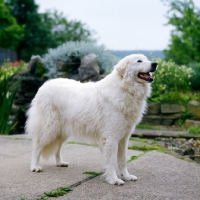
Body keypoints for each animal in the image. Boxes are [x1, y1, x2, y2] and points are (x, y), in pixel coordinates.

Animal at [25, 54, 156, 185]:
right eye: (139, 61)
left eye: (146, 59)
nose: (155, 64)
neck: (124, 88)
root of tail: (44, 86)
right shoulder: (111, 138)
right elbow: (112, 162)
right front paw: (114, 179)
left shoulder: (124, 138)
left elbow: (123, 160)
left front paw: (126, 176)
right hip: (50, 129)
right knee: (37, 147)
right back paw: (35, 166)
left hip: (62, 131)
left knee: (57, 148)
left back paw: (60, 162)